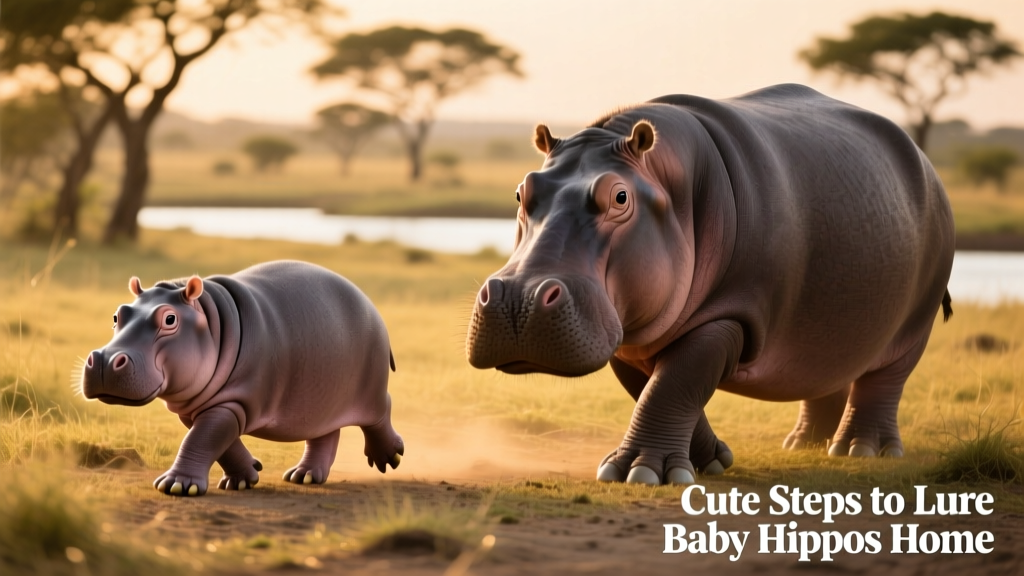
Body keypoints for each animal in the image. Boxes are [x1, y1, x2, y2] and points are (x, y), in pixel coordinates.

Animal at [81, 260, 404, 496]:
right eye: (118, 314)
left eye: (169, 319)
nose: (105, 361)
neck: (211, 318)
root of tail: (370, 303)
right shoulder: (199, 406)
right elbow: (221, 443)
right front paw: (244, 477)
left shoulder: (231, 403)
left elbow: (200, 439)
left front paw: (176, 485)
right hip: (321, 395)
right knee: (324, 434)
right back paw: (304, 476)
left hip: (369, 387)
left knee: (381, 410)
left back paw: (389, 457)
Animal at [465, 84, 954, 485]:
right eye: (522, 191)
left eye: (619, 196)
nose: (517, 298)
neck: (668, 183)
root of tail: (928, 164)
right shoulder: (630, 335)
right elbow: (655, 388)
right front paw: (712, 460)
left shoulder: (731, 314)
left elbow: (677, 381)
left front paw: (639, 472)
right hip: (830, 320)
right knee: (826, 370)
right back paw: (804, 444)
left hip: (916, 321)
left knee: (884, 381)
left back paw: (861, 449)